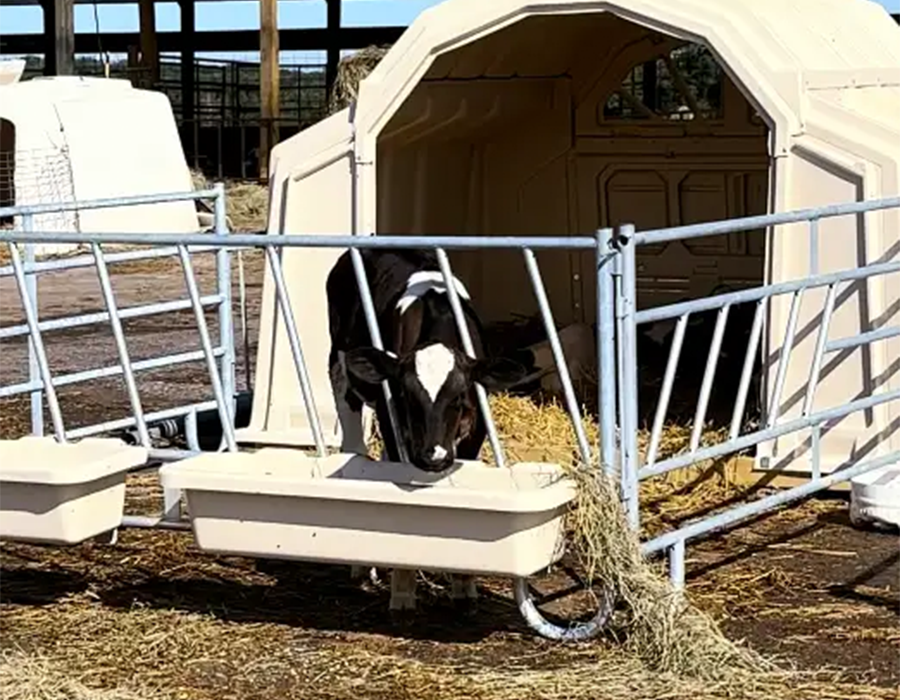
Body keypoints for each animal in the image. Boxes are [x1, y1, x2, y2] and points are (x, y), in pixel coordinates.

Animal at [326, 248, 528, 621]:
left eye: (460, 399)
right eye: (406, 397)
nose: (433, 456)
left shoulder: (473, 430)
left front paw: (464, 587)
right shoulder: (391, 417)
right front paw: (402, 590)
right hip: (340, 369)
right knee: (354, 442)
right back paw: (363, 568)